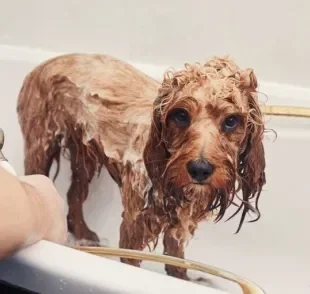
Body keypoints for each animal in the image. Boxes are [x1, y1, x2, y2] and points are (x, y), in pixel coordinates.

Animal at [17, 54, 266, 280]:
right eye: (181, 115)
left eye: (231, 121)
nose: (200, 169)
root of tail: (44, 63)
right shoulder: (134, 227)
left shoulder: (178, 226)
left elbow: (176, 263)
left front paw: (183, 279)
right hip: (41, 144)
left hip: (83, 154)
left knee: (74, 194)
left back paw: (84, 234)